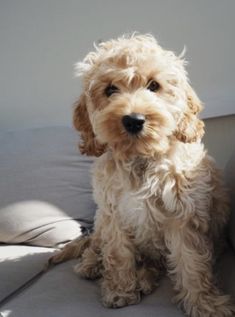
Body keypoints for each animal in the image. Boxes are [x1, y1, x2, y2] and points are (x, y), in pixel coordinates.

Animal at [50, 34, 234, 316]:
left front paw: (205, 303)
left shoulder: (183, 214)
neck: (141, 158)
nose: (133, 120)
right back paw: (91, 264)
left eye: (154, 85)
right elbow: (117, 255)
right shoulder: (113, 214)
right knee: (94, 242)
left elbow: (191, 262)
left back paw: (145, 278)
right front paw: (119, 291)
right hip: (100, 220)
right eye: (110, 90)